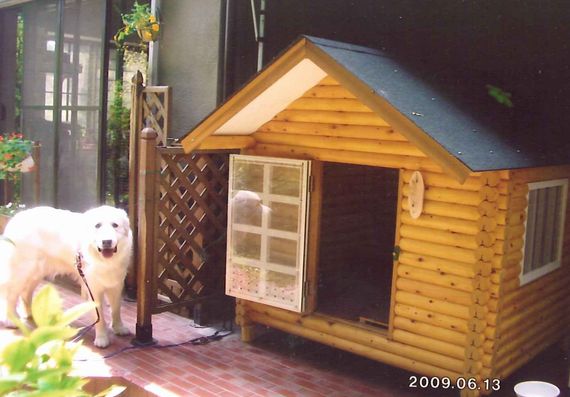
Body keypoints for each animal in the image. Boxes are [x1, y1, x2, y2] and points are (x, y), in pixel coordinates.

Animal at [0, 204, 132, 346]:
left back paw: (31, 313)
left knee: (25, 293)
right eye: (97, 225)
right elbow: (100, 316)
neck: (104, 261)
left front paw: (119, 328)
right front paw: (102, 338)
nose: (106, 241)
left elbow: (116, 309)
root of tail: (15, 218)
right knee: (10, 297)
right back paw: (10, 320)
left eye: (115, 225)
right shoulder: (93, 289)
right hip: (21, 273)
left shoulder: (116, 285)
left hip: (36, 272)